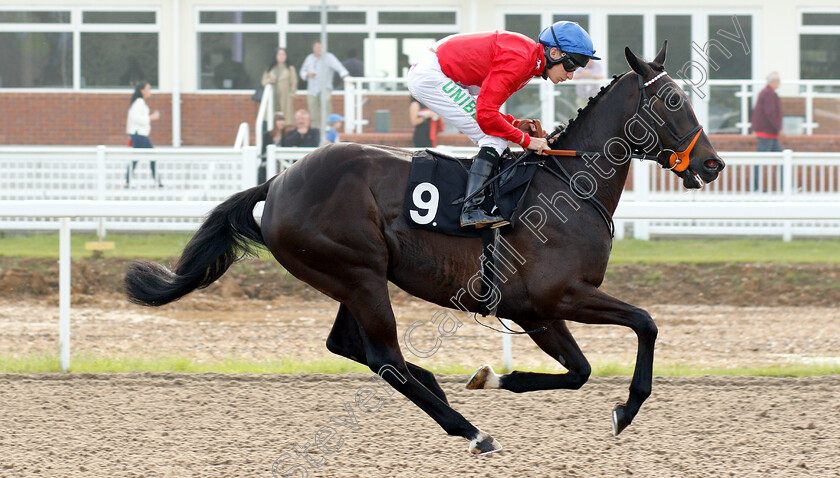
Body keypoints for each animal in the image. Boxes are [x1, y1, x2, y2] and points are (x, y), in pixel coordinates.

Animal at [124, 45, 720, 456]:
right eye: (673, 100)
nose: (712, 164)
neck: (570, 185)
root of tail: (278, 181)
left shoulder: (537, 311)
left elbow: (580, 370)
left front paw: (489, 377)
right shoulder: (556, 298)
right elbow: (644, 324)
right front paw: (627, 408)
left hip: (351, 277)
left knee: (350, 346)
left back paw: (438, 389)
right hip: (359, 273)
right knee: (383, 357)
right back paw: (471, 430)